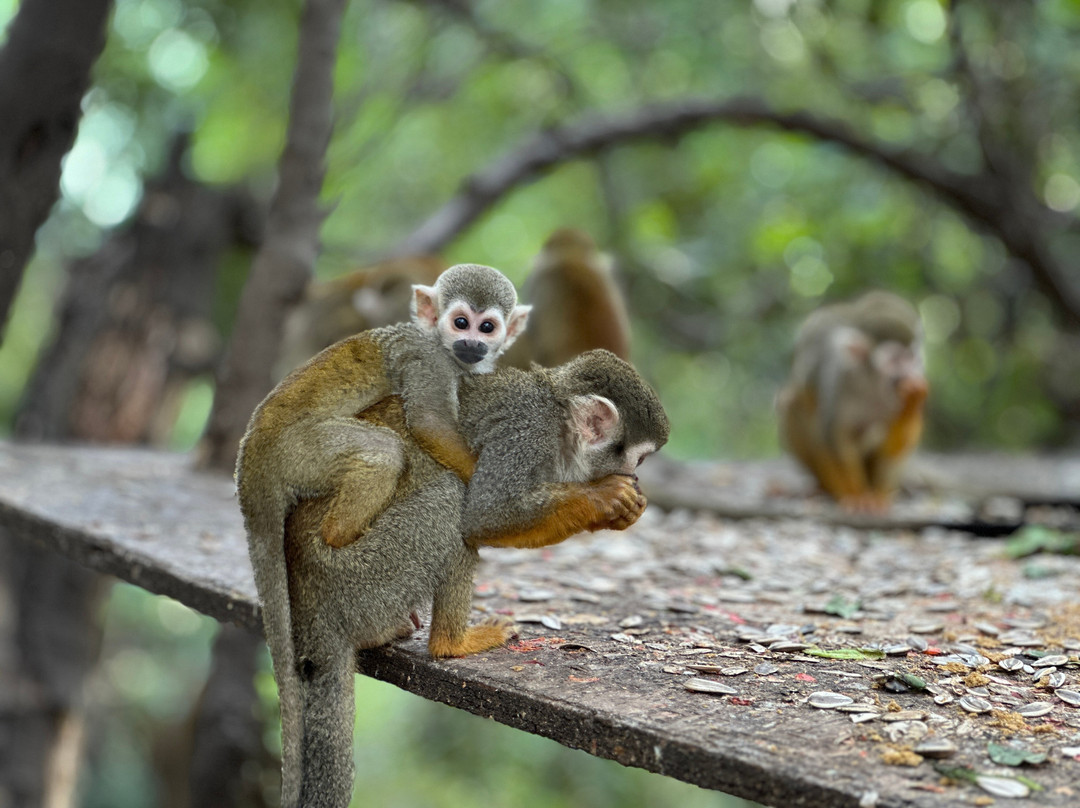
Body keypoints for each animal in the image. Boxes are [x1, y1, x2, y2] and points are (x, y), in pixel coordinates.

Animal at [279, 349, 669, 807]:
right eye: (638, 459)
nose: (636, 477)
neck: (560, 424)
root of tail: (307, 594)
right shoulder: (524, 433)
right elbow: (485, 515)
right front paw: (602, 498)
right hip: (357, 573)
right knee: (452, 499)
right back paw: (452, 644)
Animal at [776, 291, 929, 511]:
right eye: (895, 360)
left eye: (910, 357)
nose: (907, 374)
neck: (871, 382)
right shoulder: (838, 377)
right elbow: (834, 438)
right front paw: (855, 496)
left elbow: (895, 448)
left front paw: (911, 401)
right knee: (794, 402)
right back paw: (822, 487)